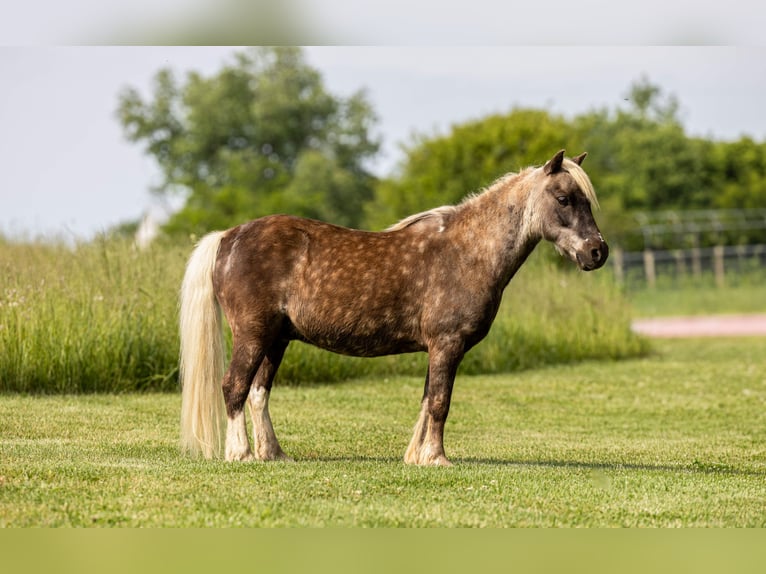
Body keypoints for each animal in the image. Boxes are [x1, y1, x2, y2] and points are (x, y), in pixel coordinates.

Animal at [179, 149, 608, 466]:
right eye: (564, 198)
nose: (597, 252)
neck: (467, 252)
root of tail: (229, 236)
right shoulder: (447, 345)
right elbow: (440, 402)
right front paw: (437, 458)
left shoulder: (437, 349)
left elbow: (427, 401)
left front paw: (416, 456)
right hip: (253, 334)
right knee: (234, 386)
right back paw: (241, 454)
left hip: (276, 339)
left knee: (258, 392)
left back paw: (274, 454)